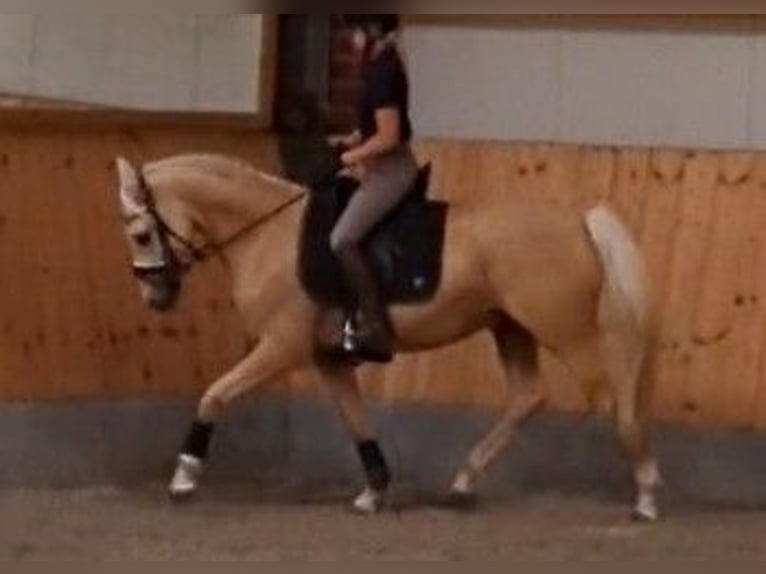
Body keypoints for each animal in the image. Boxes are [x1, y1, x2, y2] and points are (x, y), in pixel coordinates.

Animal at [117, 152, 664, 520]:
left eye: (141, 234)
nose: (155, 298)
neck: (266, 235)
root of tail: (579, 222)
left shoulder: (281, 348)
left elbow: (214, 395)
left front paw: (184, 477)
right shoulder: (329, 358)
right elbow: (356, 420)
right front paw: (374, 491)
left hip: (566, 332)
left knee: (614, 402)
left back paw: (645, 496)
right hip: (510, 327)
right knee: (528, 396)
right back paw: (462, 483)